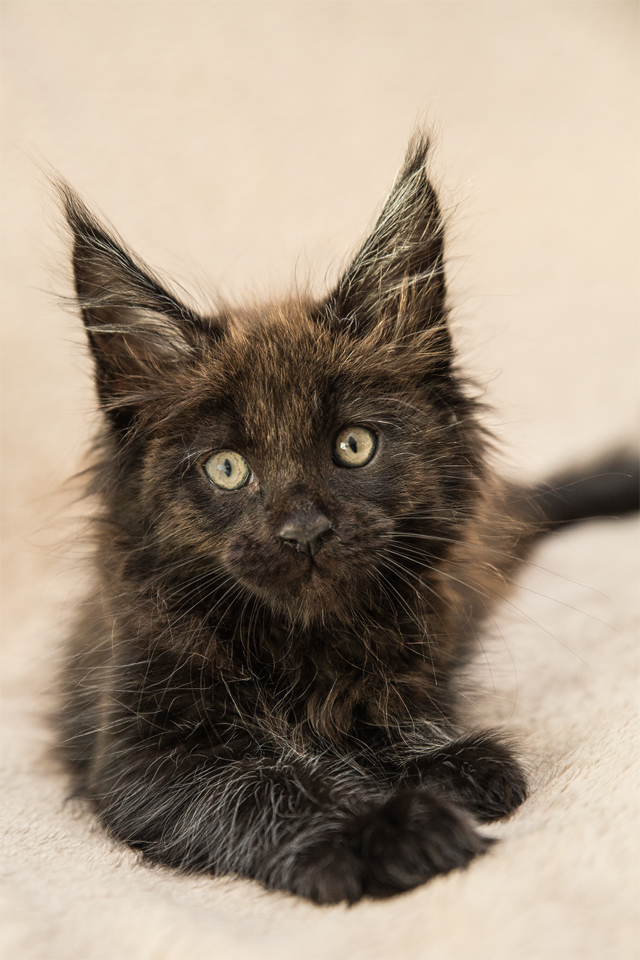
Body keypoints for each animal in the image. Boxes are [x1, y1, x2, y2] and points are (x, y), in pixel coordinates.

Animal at [58, 139, 640, 904]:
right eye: (227, 468)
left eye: (353, 446)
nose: (304, 530)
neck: (300, 647)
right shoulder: (141, 753)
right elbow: (259, 787)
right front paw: (387, 831)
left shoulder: (420, 661)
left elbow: (386, 731)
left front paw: (448, 767)